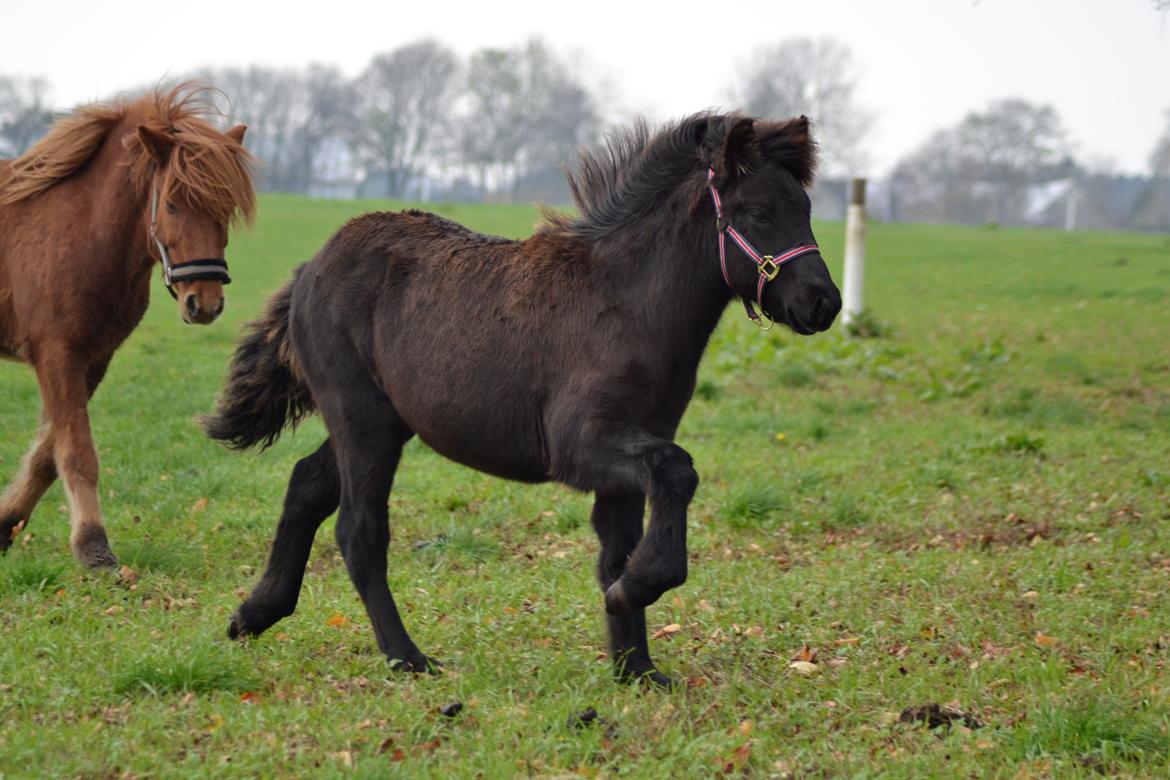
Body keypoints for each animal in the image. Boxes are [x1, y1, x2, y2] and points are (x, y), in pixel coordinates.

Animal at [0, 85, 255, 570]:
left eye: (225, 208)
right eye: (172, 203)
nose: (205, 303)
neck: (81, 233)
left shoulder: (93, 358)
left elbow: (46, 454)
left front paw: (5, 524)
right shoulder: (56, 353)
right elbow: (76, 452)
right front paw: (94, 547)